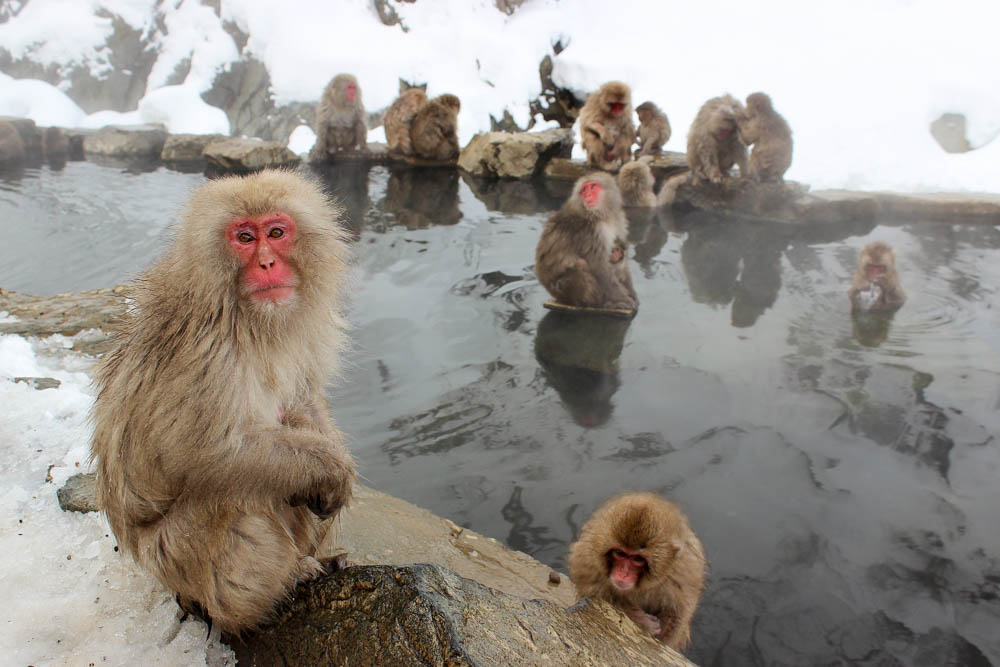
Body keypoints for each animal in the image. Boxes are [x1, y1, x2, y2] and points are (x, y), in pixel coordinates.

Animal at [90, 170, 356, 636]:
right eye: (245, 238)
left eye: (276, 232)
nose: (267, 263)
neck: (248, 318)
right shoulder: (206, 353)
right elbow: (207, 452)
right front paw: (332, 468)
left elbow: (302, 400)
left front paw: (331, 463)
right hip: (175, 558)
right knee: (232, 496)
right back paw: (274, 589)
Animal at [536, 170, 636, 310]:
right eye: (584, 190)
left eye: (593, 187)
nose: (588, 195)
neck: (600, 215)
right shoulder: (590, 232)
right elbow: (600, 268)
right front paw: (623, 299)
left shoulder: (619, 220)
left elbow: (620, 258)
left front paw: (632, 294)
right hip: (563, 290)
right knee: (580, 264)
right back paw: (598, 303)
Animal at [568, 490, 708, 652]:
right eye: (620, 553)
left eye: (638, 559)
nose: (623, 574)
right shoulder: (588, 560)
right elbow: (594, 595)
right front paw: (641, 620)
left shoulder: (684, 570)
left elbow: (678, 612)